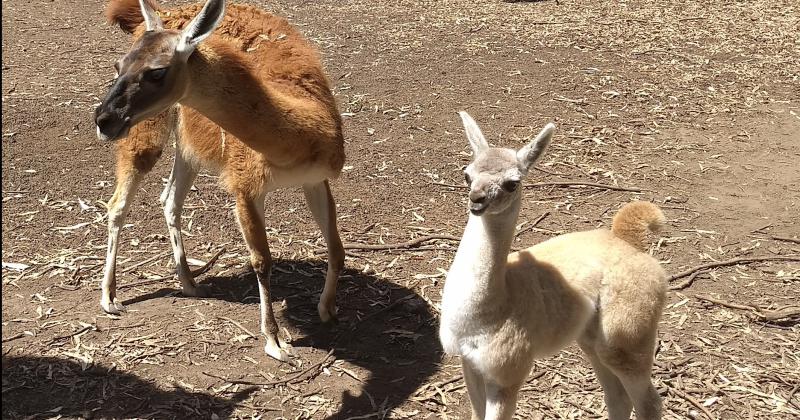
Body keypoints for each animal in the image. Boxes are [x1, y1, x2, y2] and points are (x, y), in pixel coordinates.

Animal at [95, 0, 346, 360]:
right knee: (118, 204)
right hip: (148, 131)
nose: (104, 119)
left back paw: (188, 282)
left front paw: (328, 310)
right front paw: (275, 341)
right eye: (118, 66)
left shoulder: (316, 179)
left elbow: (336, 248)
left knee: (170, 199)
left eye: (156, 72)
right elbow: (262, 260)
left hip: (189, 144)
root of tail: (167, 12)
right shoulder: (245, 186)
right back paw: (110, 297)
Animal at [440, 112, 664, 420]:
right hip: (592, 337)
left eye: (512, 183)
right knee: (617, 396)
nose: (477, 199)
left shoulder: (508, 371)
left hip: (627, 331)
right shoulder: (469, 361)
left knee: (648, 402)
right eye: (467, 175)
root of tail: (626, 241)